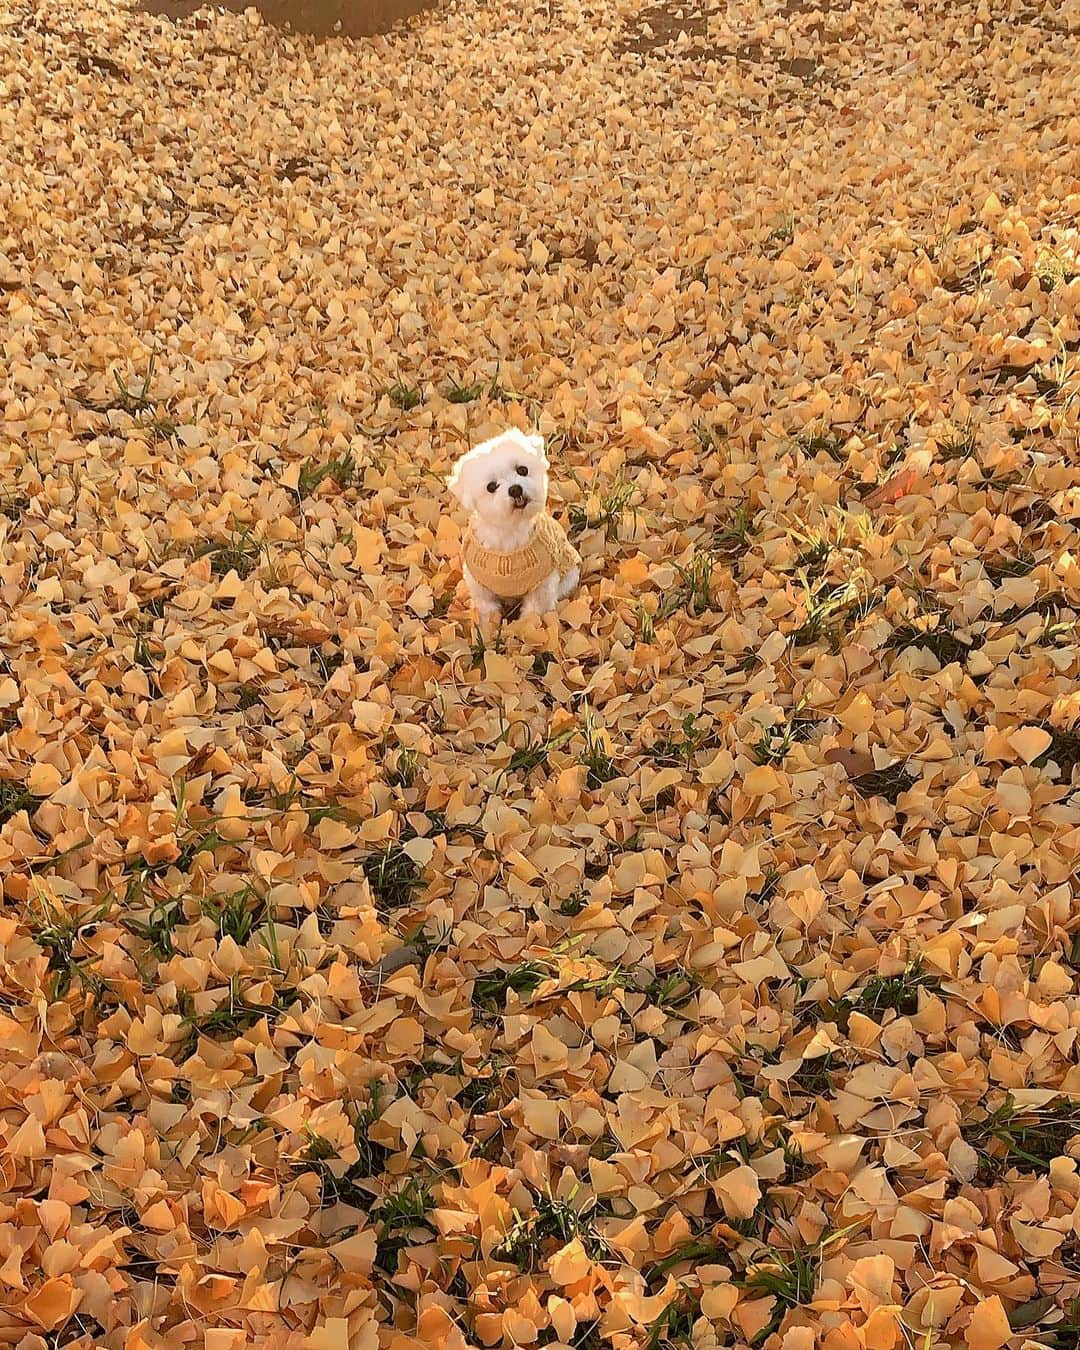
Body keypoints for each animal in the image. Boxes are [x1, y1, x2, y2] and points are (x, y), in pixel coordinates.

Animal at [448, 429, 583, 623]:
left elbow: (534, 611)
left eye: (522, 470)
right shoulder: (479, 585)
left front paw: (527, 626)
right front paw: (488, 624)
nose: (515, 489)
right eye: (491, 487)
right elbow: (487, 607)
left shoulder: (542, 584)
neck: (510, 532)